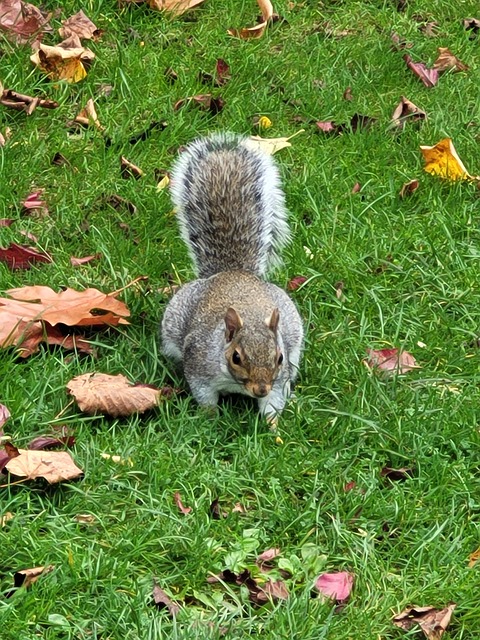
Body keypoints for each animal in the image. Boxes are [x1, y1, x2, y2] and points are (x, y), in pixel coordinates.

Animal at [161, 132, 304, 420]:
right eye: (236, 357)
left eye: (279, 357)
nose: (260, 388)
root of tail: (233, 271)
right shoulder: (200, 368)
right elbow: (205, 397)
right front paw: (210, 418)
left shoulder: (277, 380)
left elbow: (273, 402)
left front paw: (272, 423)